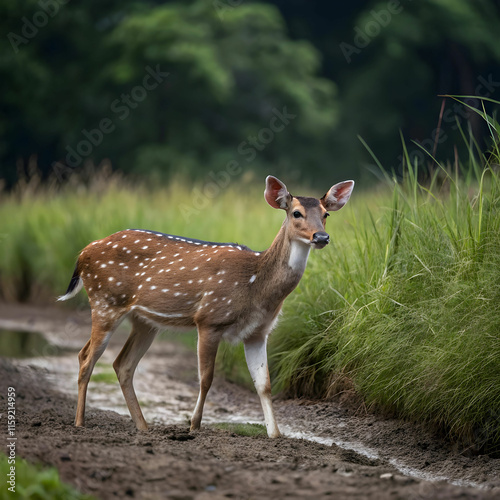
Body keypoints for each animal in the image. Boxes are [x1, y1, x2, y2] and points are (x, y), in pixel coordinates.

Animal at [58, 176, 354, 438]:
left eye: (326, 214)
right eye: (296, 213)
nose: (321, 237)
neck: (255, 285)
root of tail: (82, 254)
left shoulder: (258, 332)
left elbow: (264, 385)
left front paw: (276, 434)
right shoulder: (209, 319)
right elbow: (206, 378)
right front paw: (194, 426)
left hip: (144, 321)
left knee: (122, 364)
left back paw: (143, 428)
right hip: (105, 301)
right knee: (86, 357)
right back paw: (79, 423)